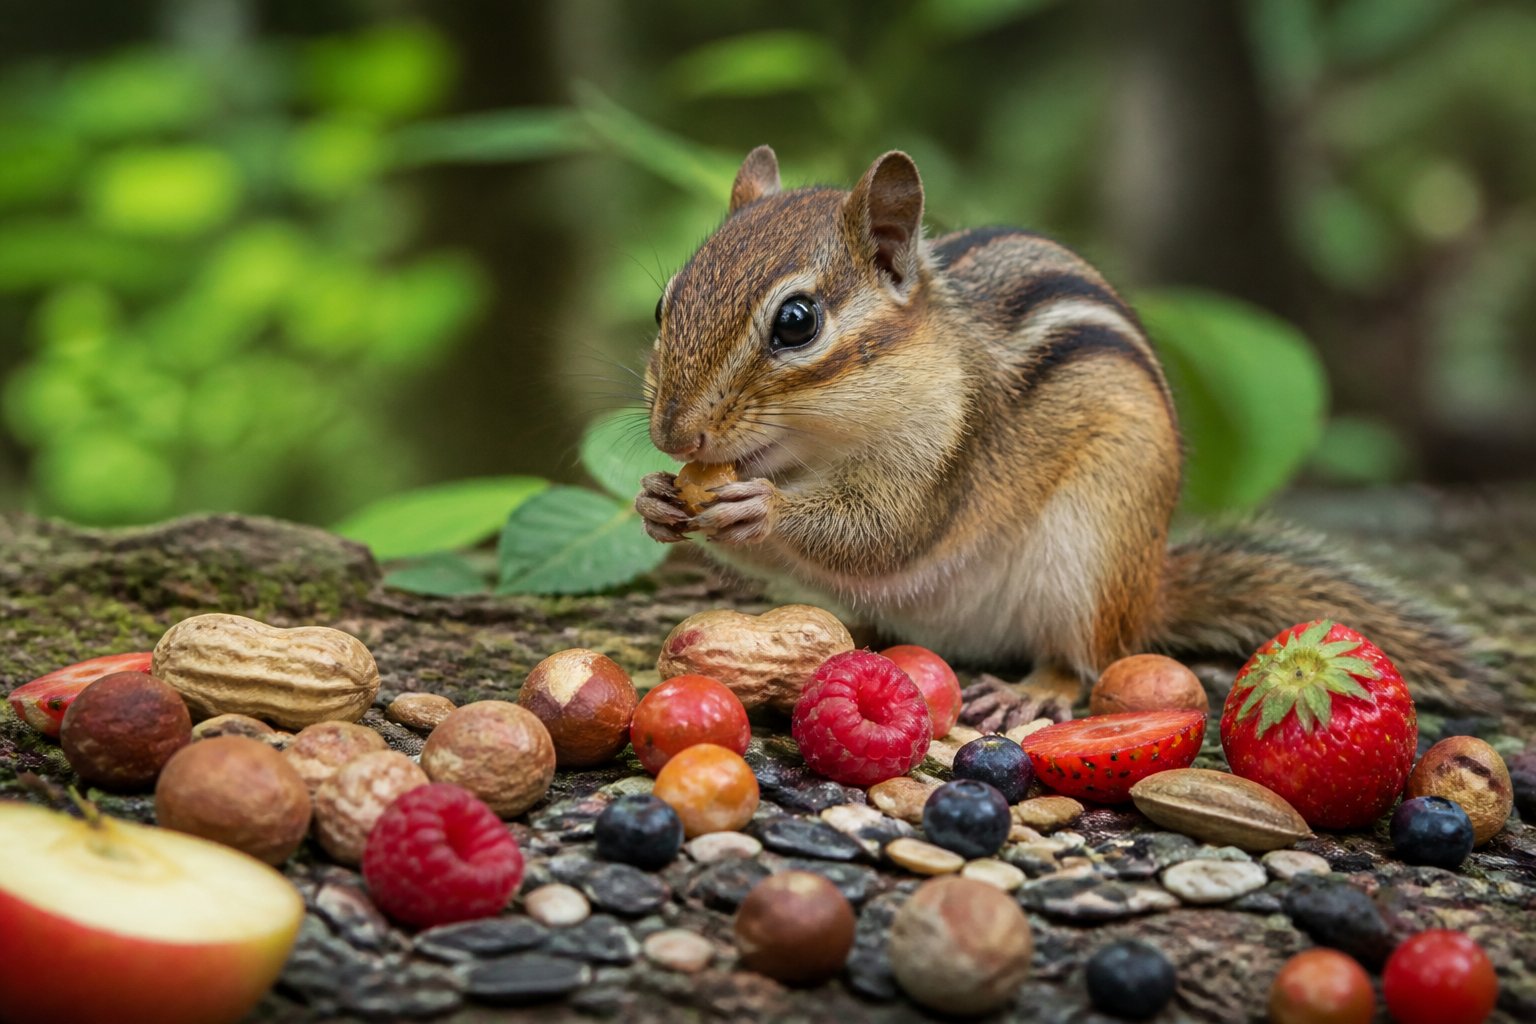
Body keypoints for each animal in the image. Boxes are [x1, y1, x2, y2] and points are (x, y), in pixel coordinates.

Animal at [634, 145, 1492, 713]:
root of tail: (1146, 594)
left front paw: (760, 508)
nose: (675, 436)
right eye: (663, 304)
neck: (814, 449)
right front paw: (654, 499)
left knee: (1081, 658)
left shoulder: (954, 450)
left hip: (1088, 554)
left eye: (798, 322)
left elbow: (888, 534)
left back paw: (1031, 691)